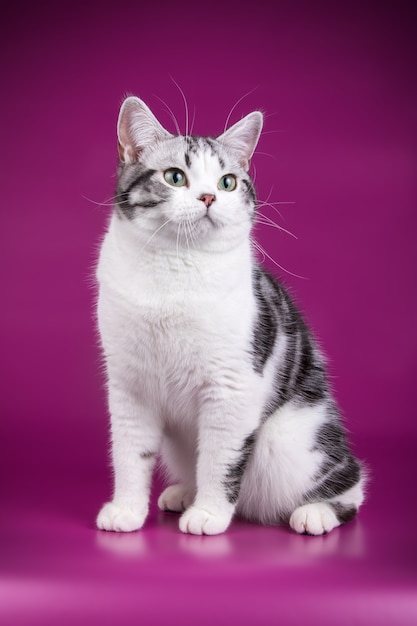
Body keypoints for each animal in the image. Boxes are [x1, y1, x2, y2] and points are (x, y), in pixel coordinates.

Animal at [94, 95, 364, 532]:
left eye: (227, 183)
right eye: (175, 177)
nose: (208, 197)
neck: (175, 267)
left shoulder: (232, 389)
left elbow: (219, 460)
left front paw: (208, 514)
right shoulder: (129, 386)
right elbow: (130, 453)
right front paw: (127, 510)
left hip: (289, 440)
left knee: (350, 482)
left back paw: (316, 512)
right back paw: (182, 493)